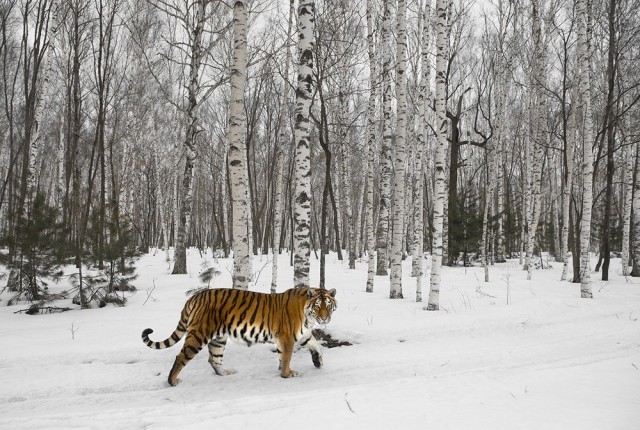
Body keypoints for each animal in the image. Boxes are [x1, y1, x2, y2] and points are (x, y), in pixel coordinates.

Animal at [141, 288, 338, 384]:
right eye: (318, 306)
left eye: (328, 305)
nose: (324, 317)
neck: (308, 317)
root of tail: (195, 297)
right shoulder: (287, 337)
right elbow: (287, 357)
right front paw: (287, 374)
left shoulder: (303, 335)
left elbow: (316, 346)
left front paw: (318, 362)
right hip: (199, 335)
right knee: (181, 357)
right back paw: (172, 381)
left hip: (218, 339)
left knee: (214, 359)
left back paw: (225, 373)